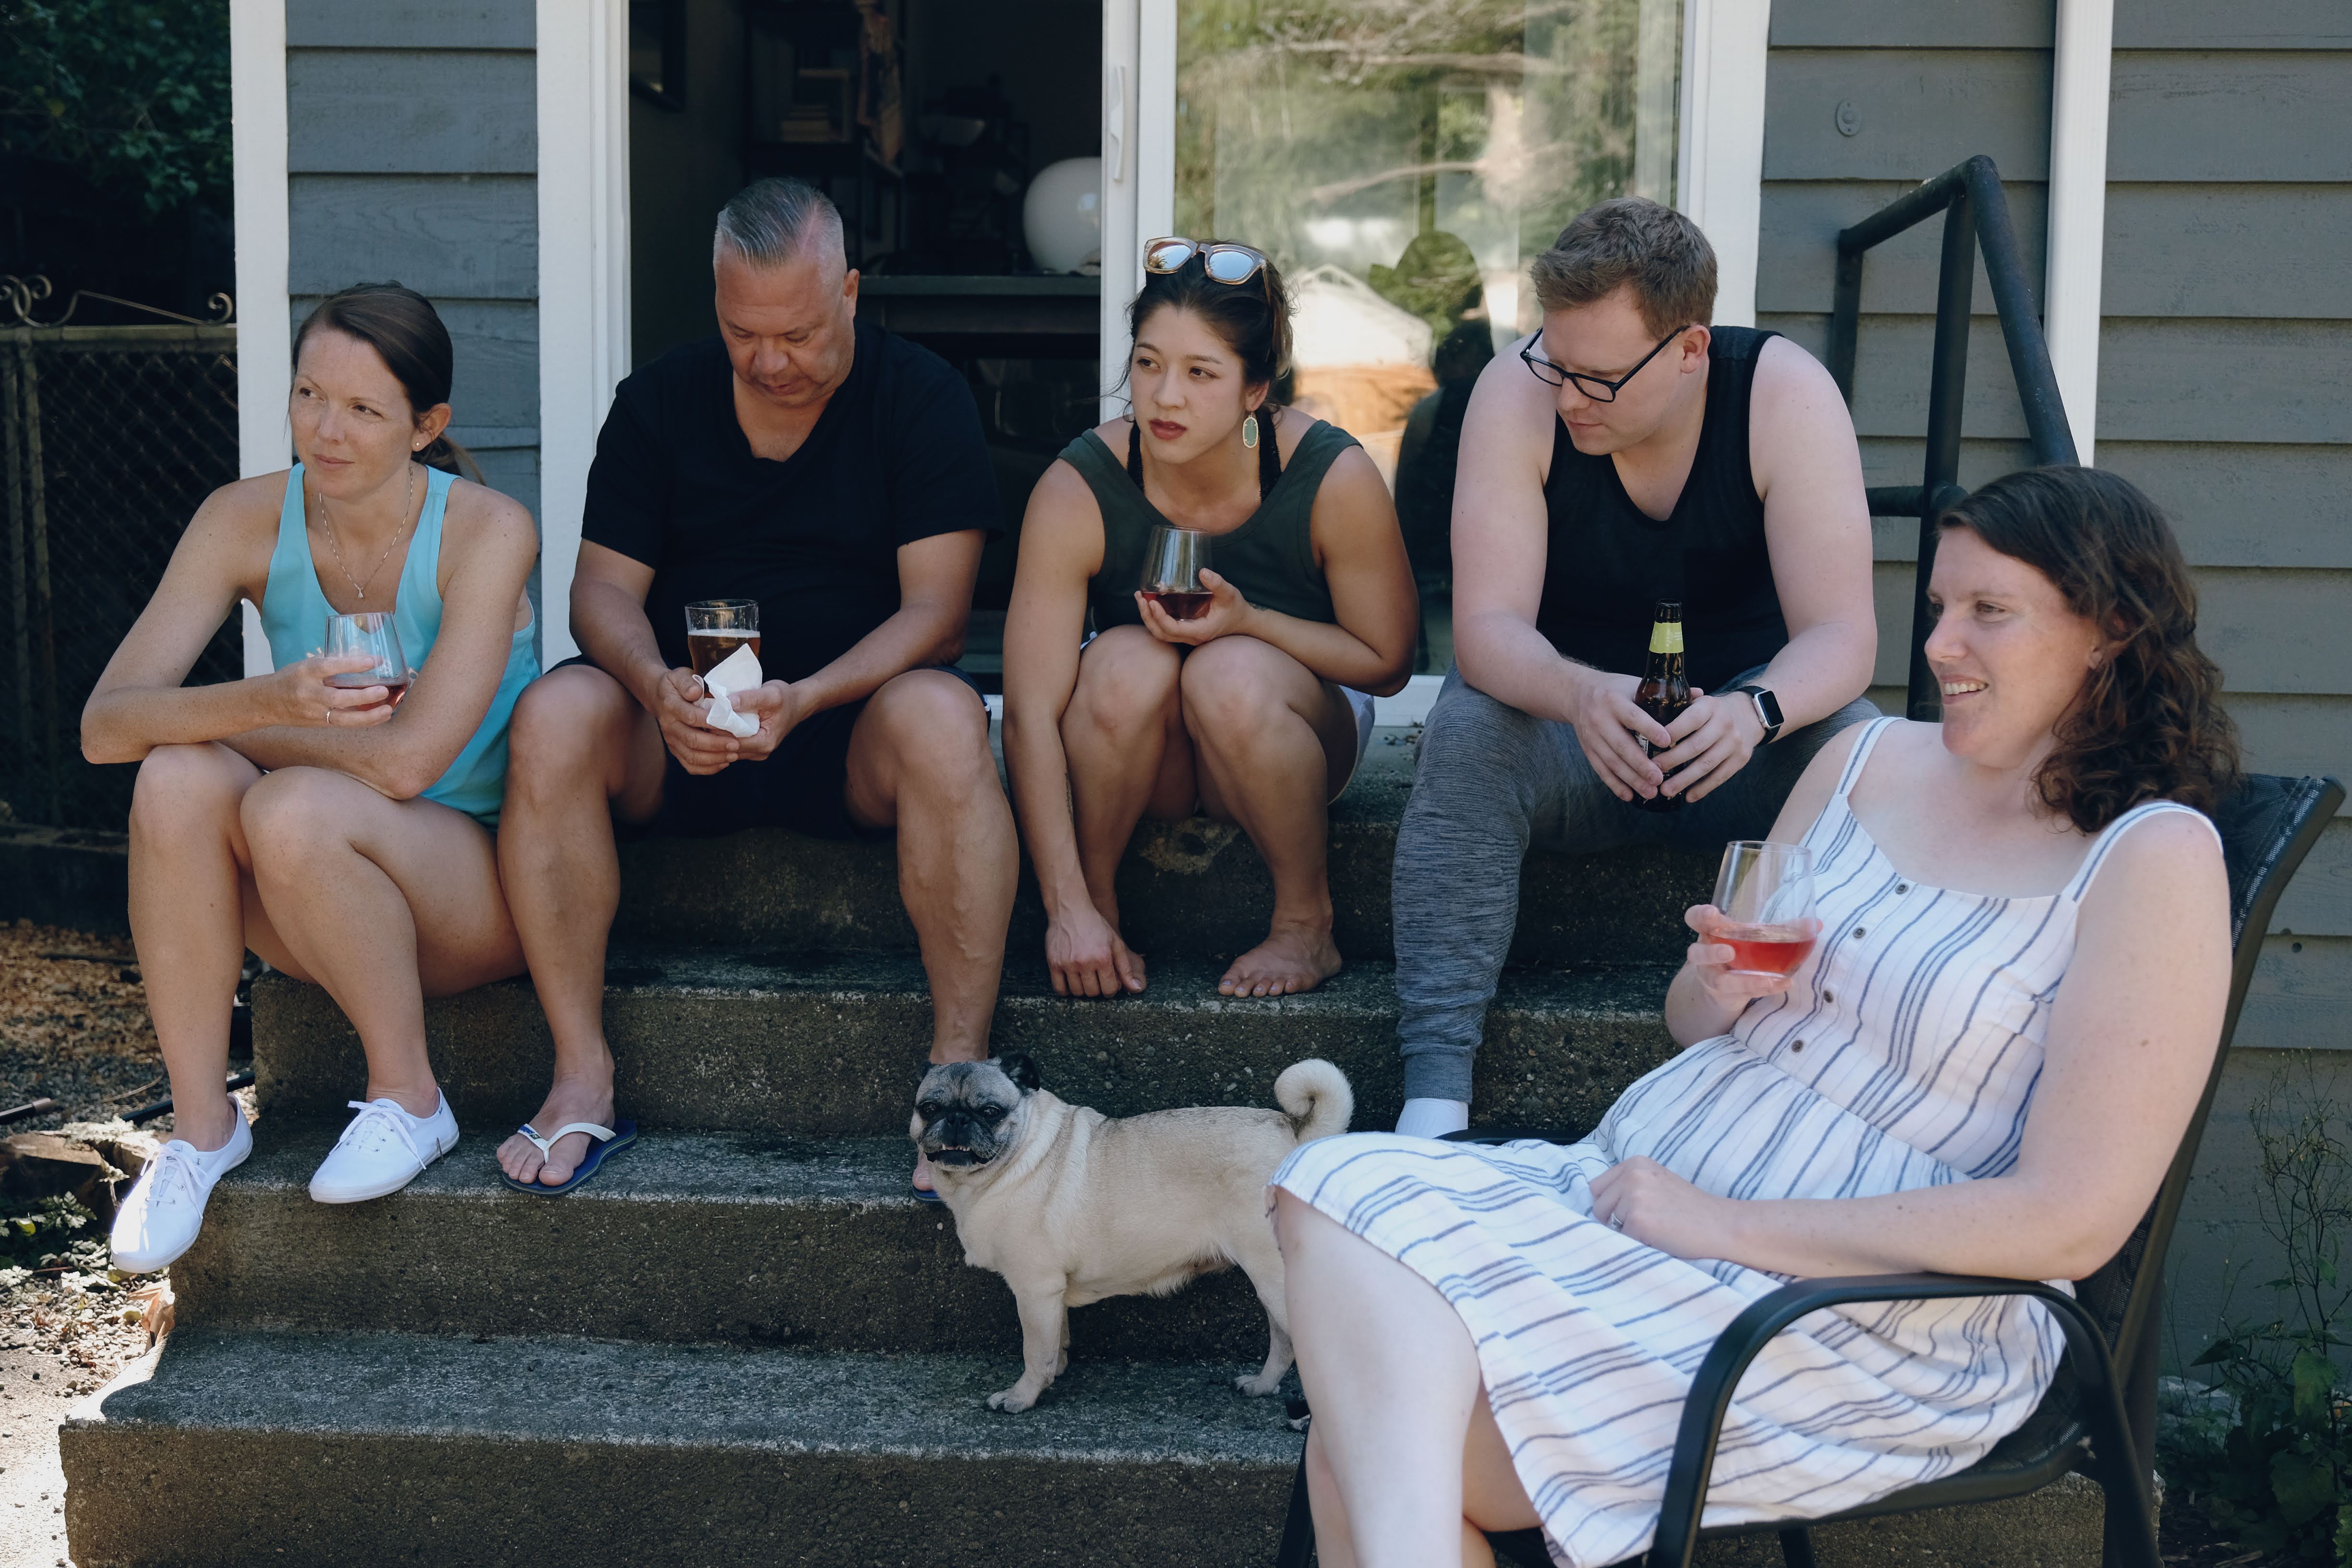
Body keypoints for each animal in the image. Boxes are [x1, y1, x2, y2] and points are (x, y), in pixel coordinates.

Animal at [911, 1053, 1352, 1412]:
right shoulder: (1052, 1294)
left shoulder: (1035, 1289)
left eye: (990, 1111)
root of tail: (1292, 1132)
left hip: (1273, 1274)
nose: (956, 1119)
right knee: (1284, 1340)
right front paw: (1058, 1369)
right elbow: (1057, 1338)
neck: (1012, 1159)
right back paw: (1262, 1385)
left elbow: (1035, 1350)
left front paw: (1022, 1397)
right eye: (928, 1107)